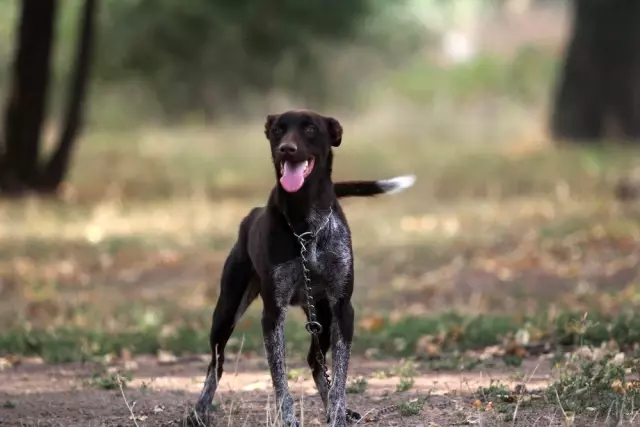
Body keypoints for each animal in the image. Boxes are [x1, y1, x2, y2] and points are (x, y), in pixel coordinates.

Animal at [192, 109, 418, 424]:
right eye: (278, 130)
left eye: (310, 129)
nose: (287, 148)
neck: (306, 225)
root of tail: (252, 215)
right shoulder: (273, 313)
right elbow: (280, 380)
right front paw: (288, 419)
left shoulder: (342, 308)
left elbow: (339, 379)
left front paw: (337, 415)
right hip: (227, 310)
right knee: (217, 361)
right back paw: (199, 410)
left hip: (322, 315)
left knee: (315, 361)